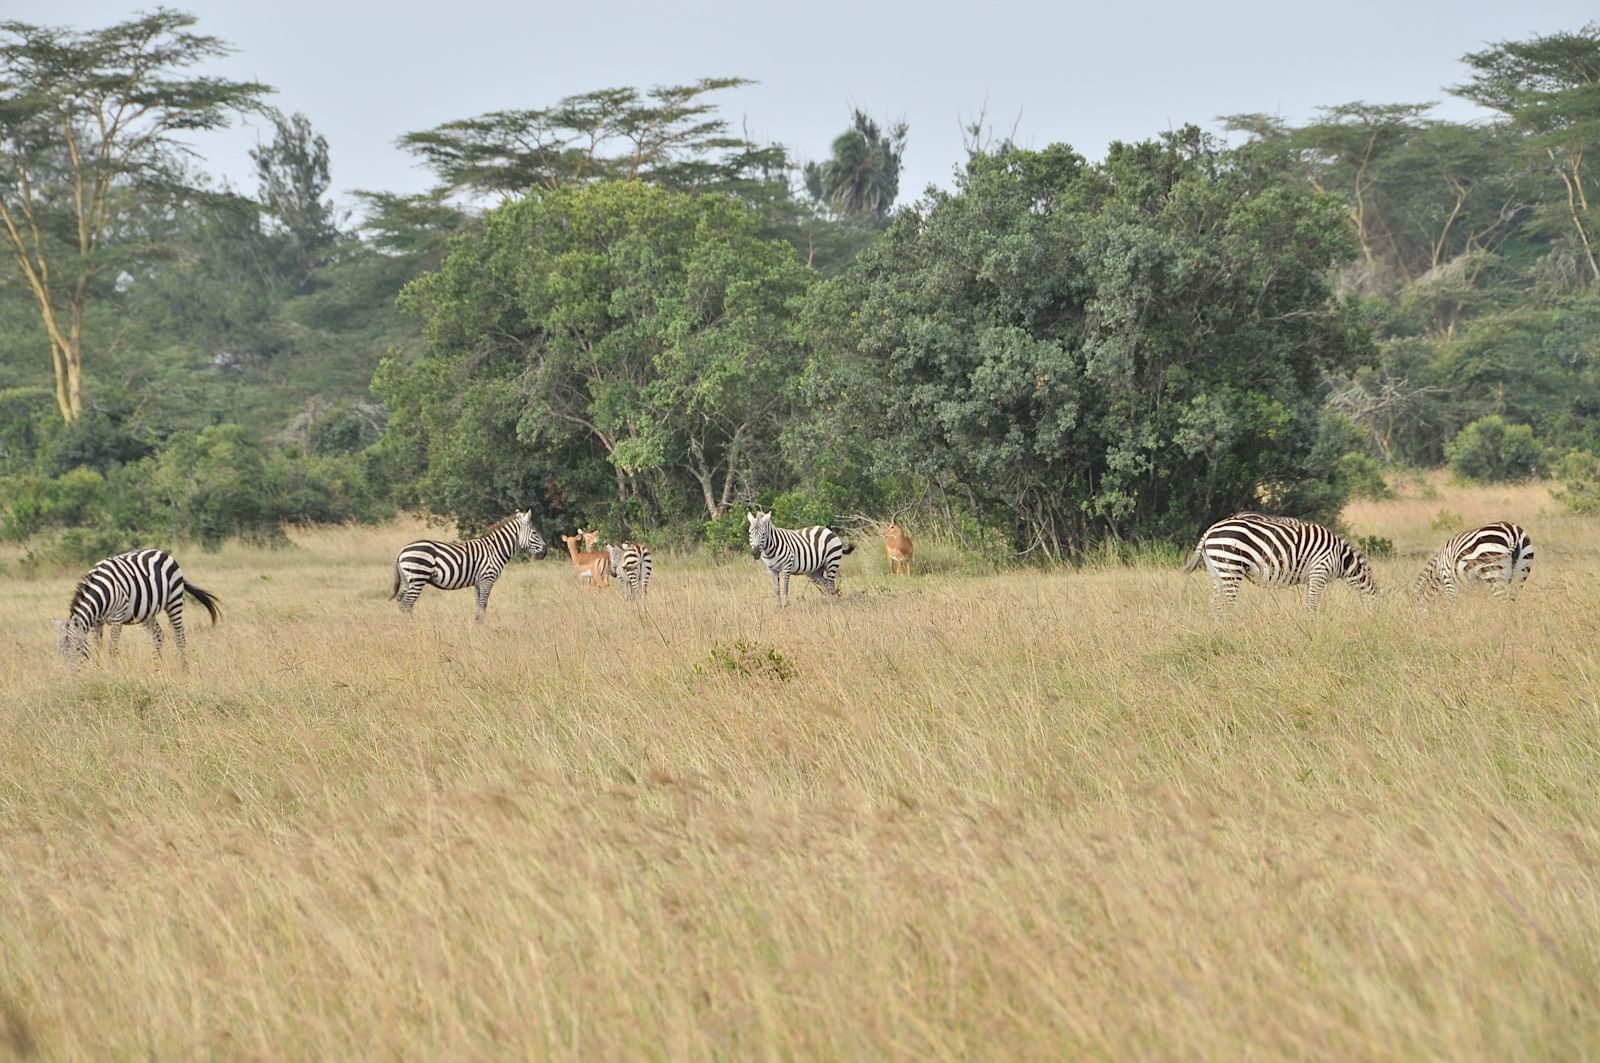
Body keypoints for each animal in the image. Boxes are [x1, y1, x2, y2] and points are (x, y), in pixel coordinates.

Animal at [51, 548, 221, 668]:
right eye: (62, 654)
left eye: (77, 650)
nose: (73, 677)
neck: (101, 592)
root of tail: (161, 552)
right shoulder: (97, 621)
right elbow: (97, 646)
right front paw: (98, 670)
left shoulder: (117, 616)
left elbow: (112, 647)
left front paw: (112, 671)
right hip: (147, 612)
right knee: (158, 635)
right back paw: (157, 669)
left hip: (174, 600)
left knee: (179, 637)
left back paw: (184, 668)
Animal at [391, 510, 547, 621]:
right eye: (535, 533)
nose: (545, 552)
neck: (495, 550)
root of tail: (401, 551)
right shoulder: (487, 579)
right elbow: (483, 604)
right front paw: (482, 627)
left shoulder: (478, 582)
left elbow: (479, 606)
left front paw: (477, 625)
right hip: (418, 577)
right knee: (407, 604)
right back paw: (413, 629)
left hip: (408, 580)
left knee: (402, 603)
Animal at [1182, 512, 1377, 611]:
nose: (1375, 625)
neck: (1342, 559)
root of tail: (1210, 529)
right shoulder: (1319, 571)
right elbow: (1313, 603)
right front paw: (1312, 625)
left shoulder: (1312, 577)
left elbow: (1308, 601)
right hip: (1230, 565)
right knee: (1226, 602)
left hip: (1217, 569)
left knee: (1215, 601)